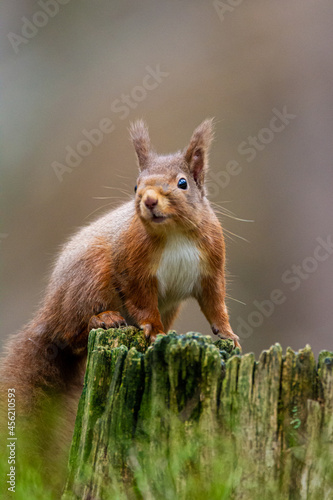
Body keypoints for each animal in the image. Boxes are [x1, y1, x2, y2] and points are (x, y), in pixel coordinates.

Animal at [0, 121, 239, 418]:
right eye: (136, 185)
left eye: (182, 183)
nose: (149, 200)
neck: (174, 233)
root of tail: (49, 313)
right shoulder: (132, 268)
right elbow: (142, 302)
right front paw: (155, 330)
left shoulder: (211, 269)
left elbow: (215, 303)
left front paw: (228, 333)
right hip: (91, 277)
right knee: (69, 334)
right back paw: (102, 319)